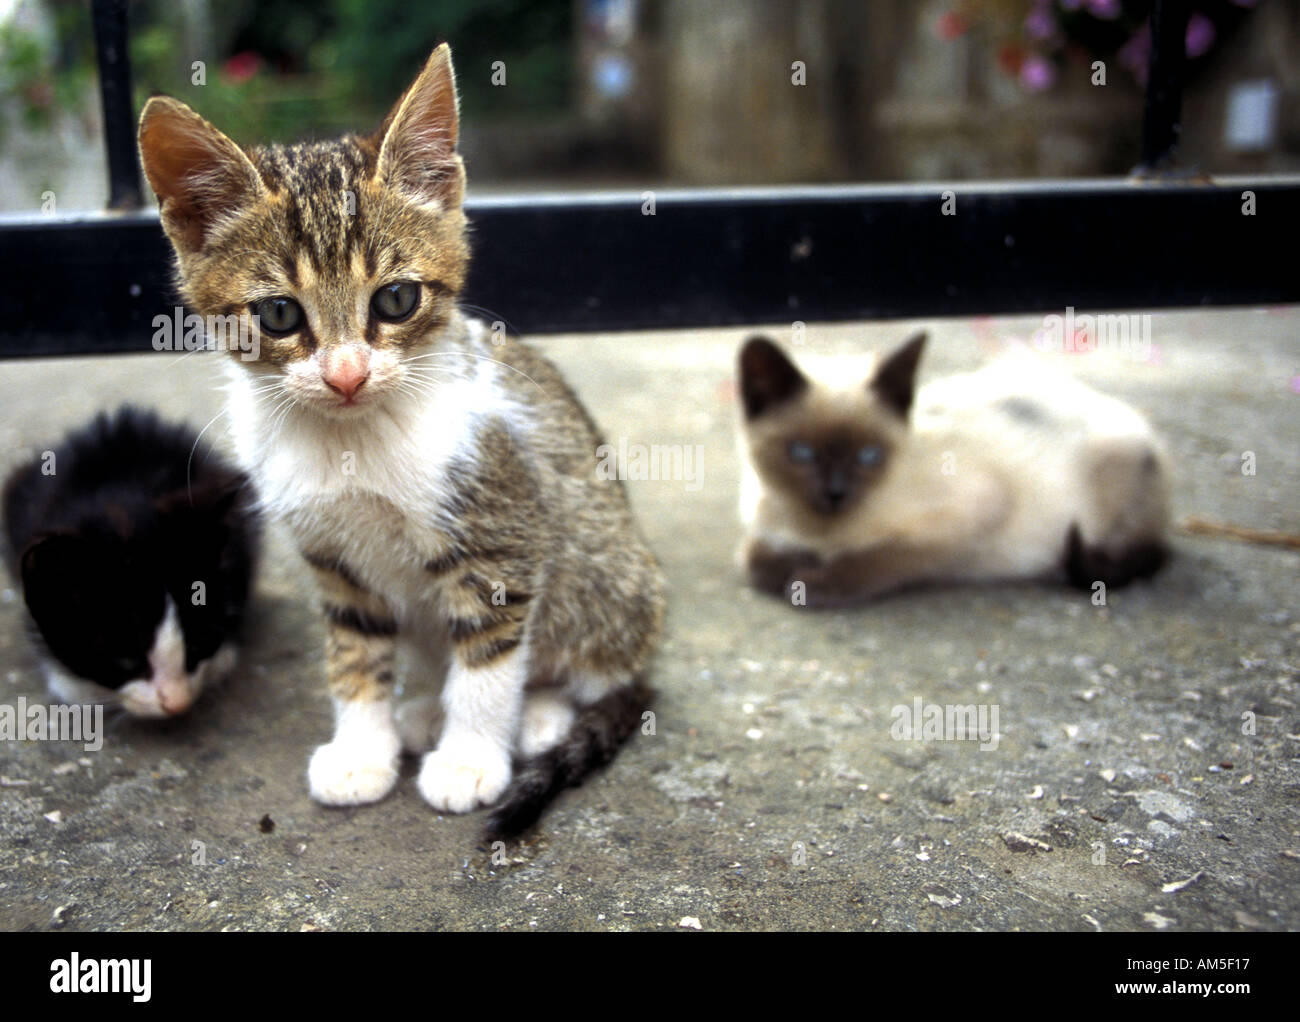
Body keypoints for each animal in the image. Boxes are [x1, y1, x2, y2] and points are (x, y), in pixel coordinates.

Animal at [137, 43, 665, 832]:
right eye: (278, 314)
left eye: (395, 299)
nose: (347, 374)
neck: (351, 438)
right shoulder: (333, 558)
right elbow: (355, 654)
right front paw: (364, 749)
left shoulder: (501, 534)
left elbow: (488, 662)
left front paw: (472, 758)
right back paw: (421, 714)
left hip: (610, 576)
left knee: (596, 670)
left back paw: (540, 716)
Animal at [738, 335, 1175, 605]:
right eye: (801, 453)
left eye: (869, 456)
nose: (835, 493)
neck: (818, 532)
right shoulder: (764, 531)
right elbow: (755, 559)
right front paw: (791, 567)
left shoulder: (971, 515)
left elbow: (884, 558)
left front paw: (813, 581)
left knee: (1148, 547)